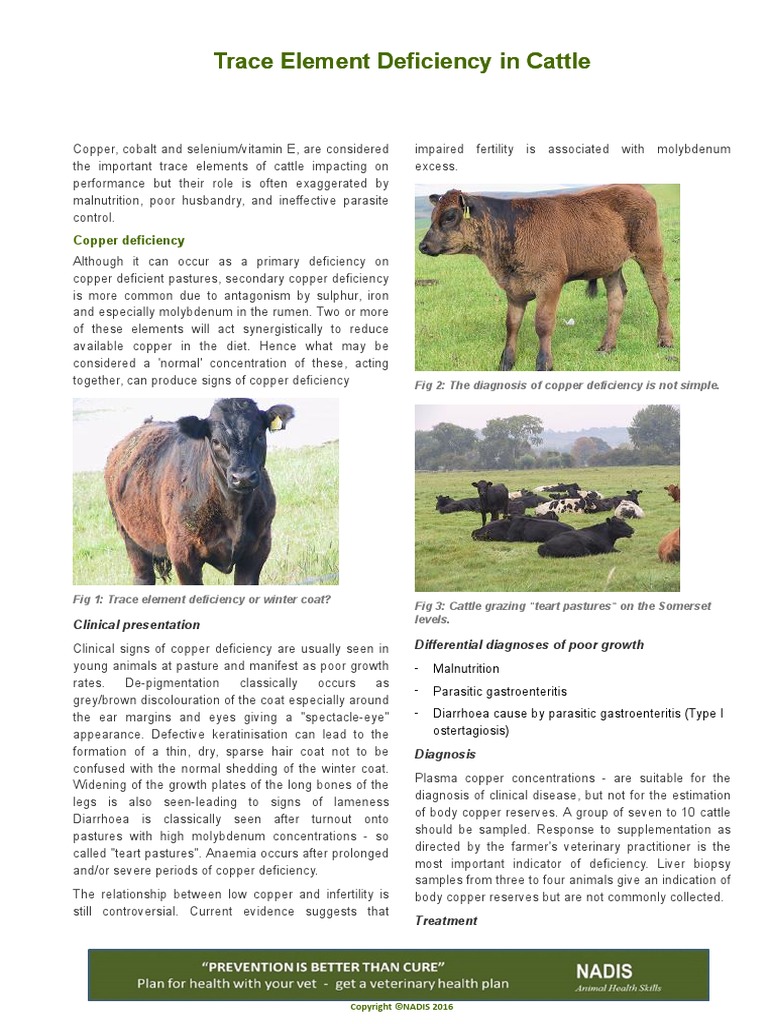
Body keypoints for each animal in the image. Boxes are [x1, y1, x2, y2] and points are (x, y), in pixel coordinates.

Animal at [104, 398, 295, 585]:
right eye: (216, 441)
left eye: (259, 436)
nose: (243, 477)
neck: (235, 512)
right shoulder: (183, 554)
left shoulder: (258, 549)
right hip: (130, 537)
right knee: (143, 576)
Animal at [418, 185, 673, 370]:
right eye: (432, 215)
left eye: (450, 216)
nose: (422, 246)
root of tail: (635, 187)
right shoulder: (513, 288)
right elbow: (512, 324)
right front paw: (506, 362)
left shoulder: (550, 281)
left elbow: (542, 324)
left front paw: (543, 363)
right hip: (611, 264)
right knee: (616, 300)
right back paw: (607, 346)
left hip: (650, 251)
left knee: (659, 293)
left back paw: (665, 339)